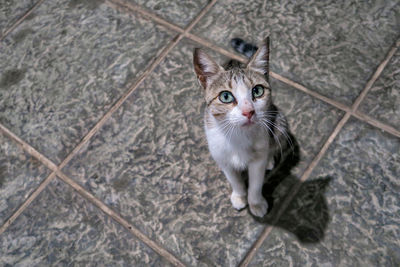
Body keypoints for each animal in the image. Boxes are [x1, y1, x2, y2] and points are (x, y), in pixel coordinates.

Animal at [192, 37, 290, 218]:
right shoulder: (222, 156)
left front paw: (256, 203)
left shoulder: (258, 157)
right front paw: (239, 196)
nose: (248, 111)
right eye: (225, 96)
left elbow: (256, 184)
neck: (238, 135)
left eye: (257, 91)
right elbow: (235, 180)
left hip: (279, 122)